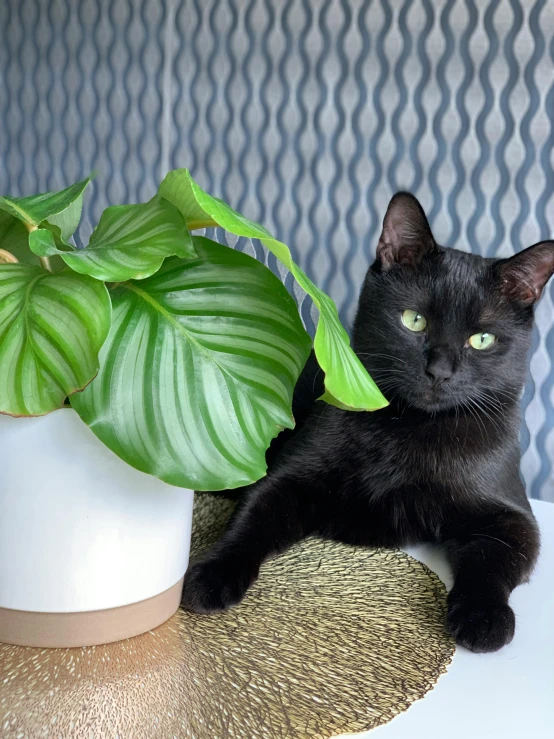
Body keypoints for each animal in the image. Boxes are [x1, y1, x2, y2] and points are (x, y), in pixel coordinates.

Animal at [181, 195, 552, 652]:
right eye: (413, 320)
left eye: (482, 340)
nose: (439, 371)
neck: (410, 426)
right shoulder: (288, 479)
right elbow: (250, 520)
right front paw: (212, 573)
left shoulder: (512, 515)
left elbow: (494, 561)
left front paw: (483, 616)